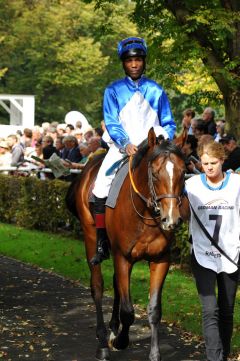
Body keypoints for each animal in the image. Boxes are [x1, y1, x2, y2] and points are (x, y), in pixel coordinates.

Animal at [66, 128, 188, 358]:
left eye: (183, 172)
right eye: (155, 172)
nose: (171, 219)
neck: (145, 214)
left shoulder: (161, 260)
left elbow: (154, 309)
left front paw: (154, 354)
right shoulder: (123, 257)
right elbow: (128, 310)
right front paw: (121, 341)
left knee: (115, 284)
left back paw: (113, 328)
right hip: (90, 236)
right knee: (97, 286)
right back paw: (103, 342)